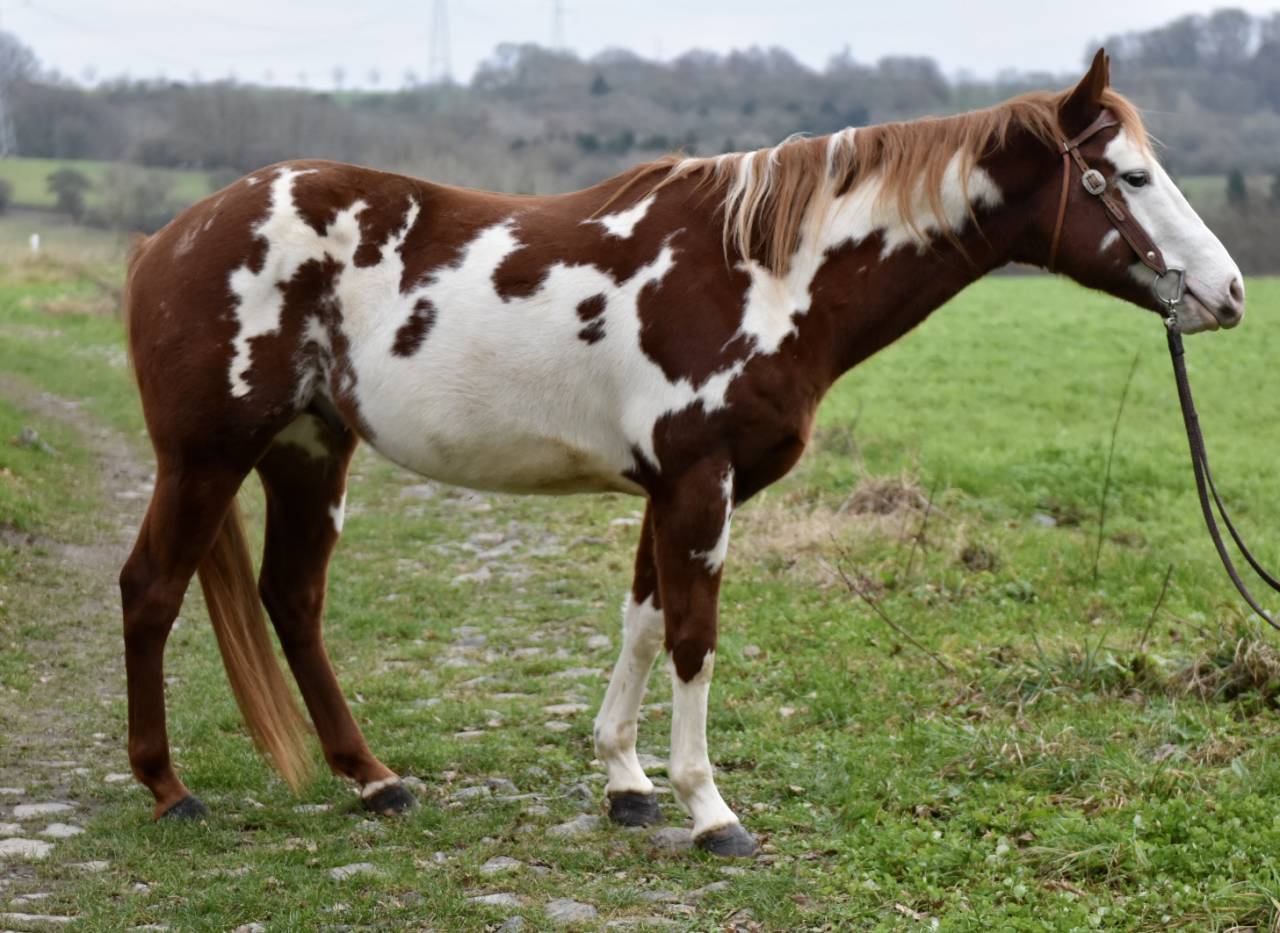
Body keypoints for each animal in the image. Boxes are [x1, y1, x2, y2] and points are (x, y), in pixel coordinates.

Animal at [118, 50, 1244, 856]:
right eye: (1129, 175)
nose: (1227, 292)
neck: (763, 273)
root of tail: (169, 236)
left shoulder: (669, 488)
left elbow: (644, 622)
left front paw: (626, 784)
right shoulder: (701, 483)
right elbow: (696, 637)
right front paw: (710, 810)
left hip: (310, 450)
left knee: (293, 599)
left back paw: (375, 779)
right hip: (205, 456)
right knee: (151, 589)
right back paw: (170, 792)